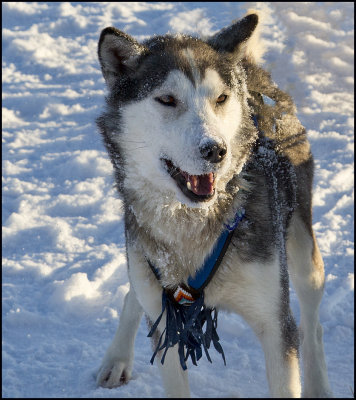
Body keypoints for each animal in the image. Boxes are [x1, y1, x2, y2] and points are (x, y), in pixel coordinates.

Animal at [95, 11, 334, 396]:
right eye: (167, 99)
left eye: (220, 98)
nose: (215, 150)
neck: (194, 224)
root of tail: (247, 66)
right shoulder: (167, 319)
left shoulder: (274, 322)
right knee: (134, 292)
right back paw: (117, 358)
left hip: (303, 257)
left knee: (312, 326)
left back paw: (319, 384)